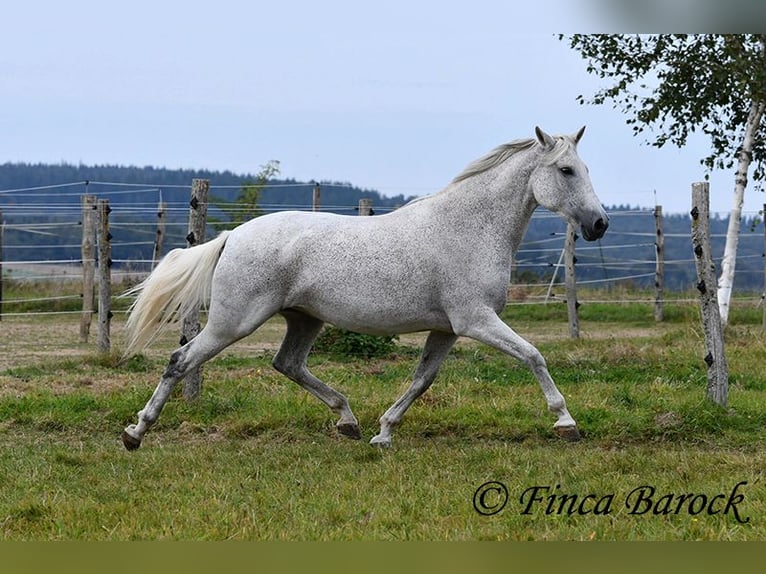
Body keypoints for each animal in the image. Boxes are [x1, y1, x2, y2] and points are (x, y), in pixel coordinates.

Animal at [123, 128, 608, 452]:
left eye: (587, 168)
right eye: (566, 169)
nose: (599, 224)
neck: (468, 229)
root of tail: (233, 236)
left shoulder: (447, 329)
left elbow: (421, 380)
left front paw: (383, 433)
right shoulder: (476, 320)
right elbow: (534, 356)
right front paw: (567, 423)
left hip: (304, 319)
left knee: (287, 364)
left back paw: (348, 422)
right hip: (233, 322)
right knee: (180, 360)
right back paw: (135, 433)